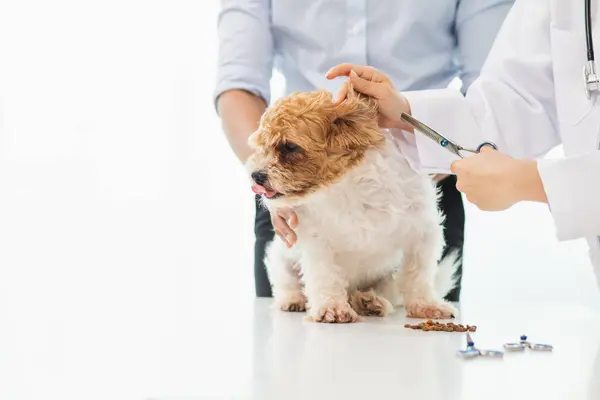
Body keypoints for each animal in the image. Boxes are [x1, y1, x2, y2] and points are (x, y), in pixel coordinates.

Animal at [246, 87, 458, 322]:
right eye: (262, 147)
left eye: (290, 147)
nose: (256, 175)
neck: (348, 186)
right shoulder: (317, 243)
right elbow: (325, 275)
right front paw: (331, 308)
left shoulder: (422, 233)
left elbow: (418, 275)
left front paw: (426, 305)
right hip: (281, 260)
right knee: (287, 285)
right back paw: (293, 300)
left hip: (386, 277)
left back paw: (370, 302)